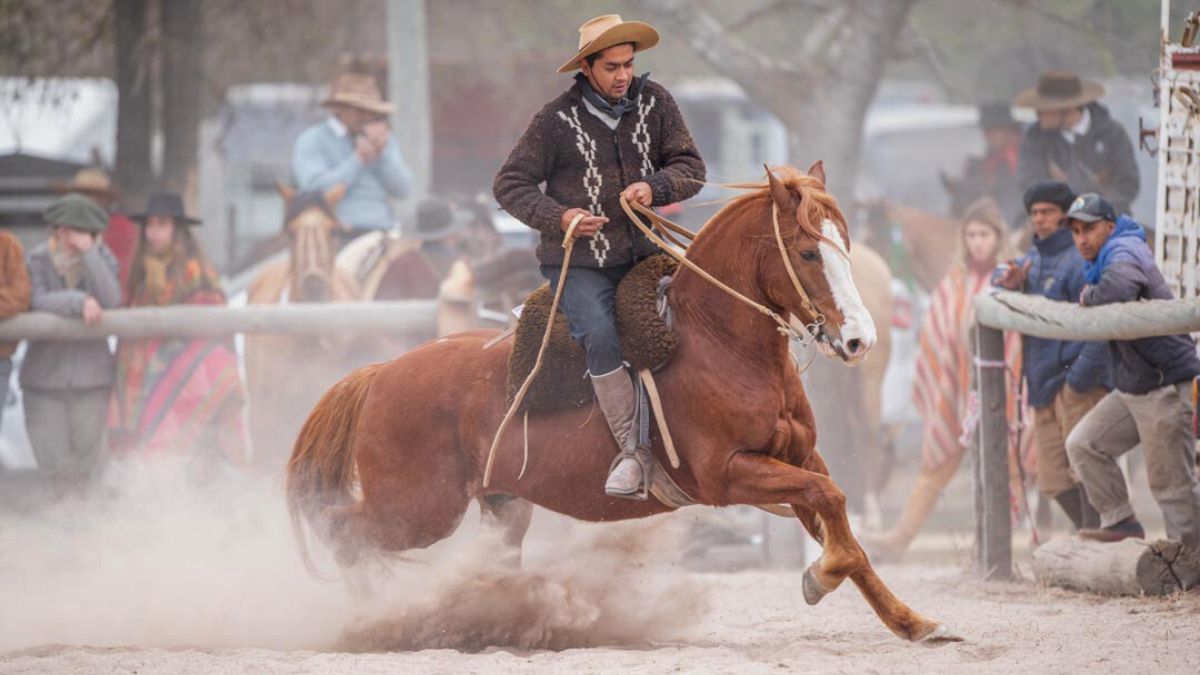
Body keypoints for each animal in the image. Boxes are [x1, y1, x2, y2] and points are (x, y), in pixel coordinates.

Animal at [286, 162, 949, 642]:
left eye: (846, 245)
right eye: (809, 252)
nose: (861, 339)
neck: (718, 342)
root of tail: (379, 374)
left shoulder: (800, 460)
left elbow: (844, 528)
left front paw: (910, 621)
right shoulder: (728, 474)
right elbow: (832, 508)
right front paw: (819, 576)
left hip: (500, 505)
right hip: (418, 509)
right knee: (342, 528)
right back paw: (371, 618)